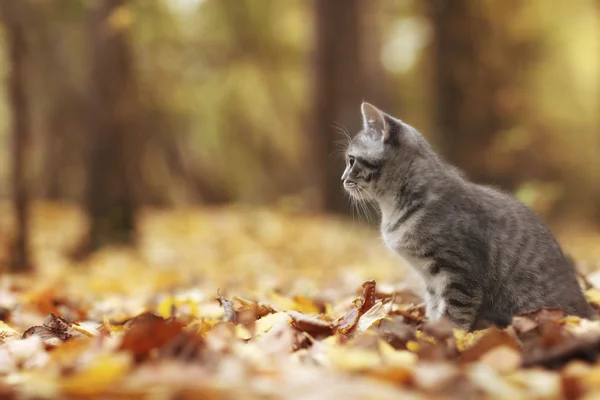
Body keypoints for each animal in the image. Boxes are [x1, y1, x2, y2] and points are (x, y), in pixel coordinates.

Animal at [340, 102, 592, 332]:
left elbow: (455, 315)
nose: (342, 179)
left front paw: (444, 339)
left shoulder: (461, 273)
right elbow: (435, 308)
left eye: (351, 160)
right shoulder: (432, 281)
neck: (394, 208)